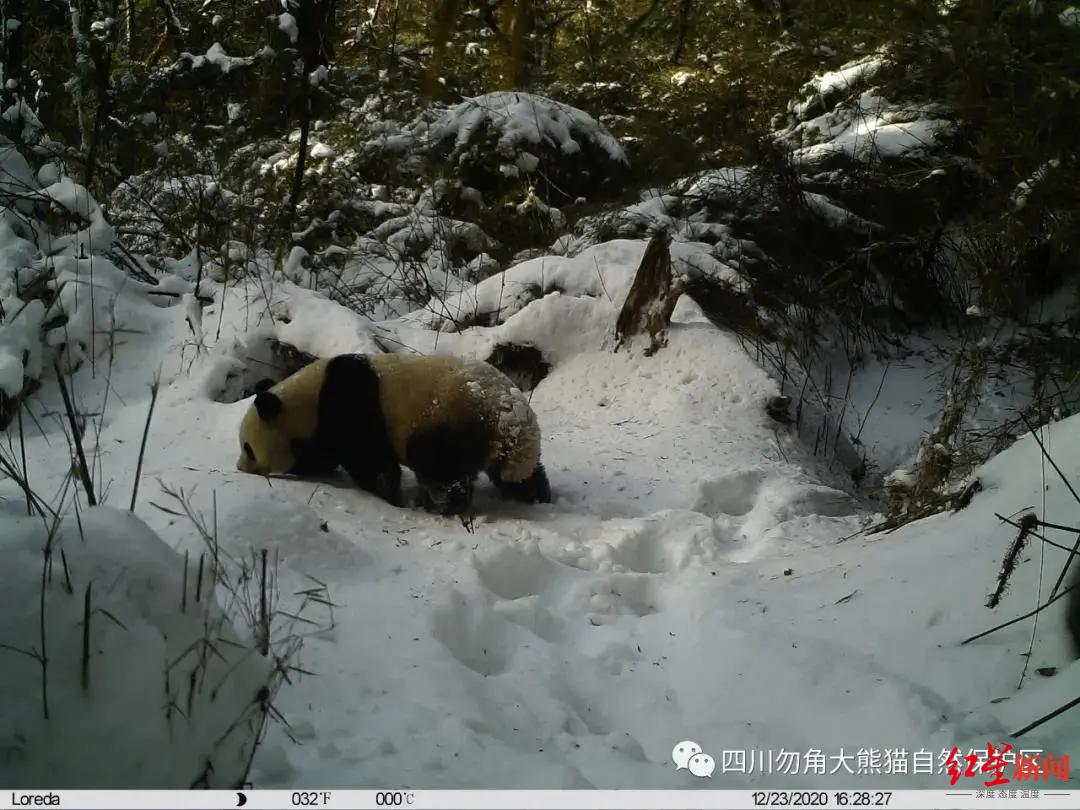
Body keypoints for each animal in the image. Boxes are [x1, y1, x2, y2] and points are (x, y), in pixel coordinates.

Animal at [234, 352, 548, 516]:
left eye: (248, 447)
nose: (240, 467)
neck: (308, 399)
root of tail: (510, 415)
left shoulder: (348, 408)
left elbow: (370, 461)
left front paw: (386, 495)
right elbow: (321, 455)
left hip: (449, 420)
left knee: (440, 468)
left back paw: (439, 505)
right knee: (518, 474)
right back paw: (535, 495)